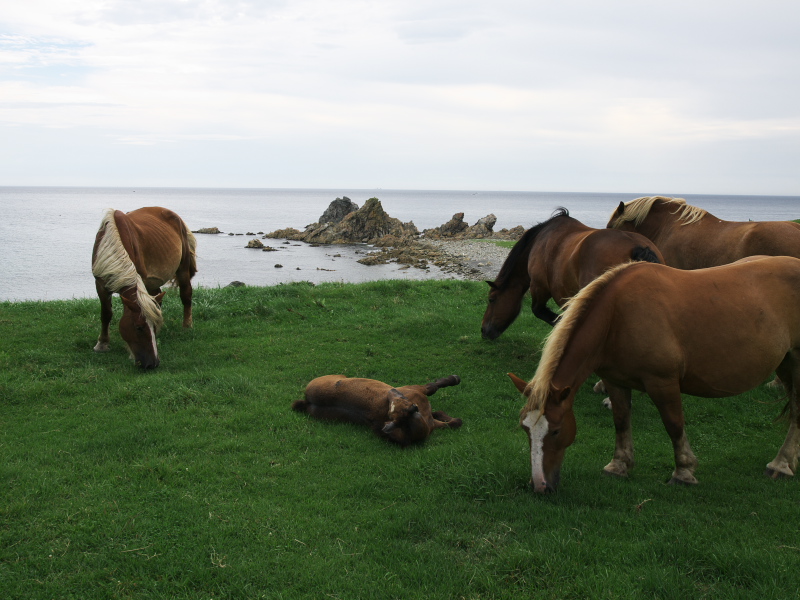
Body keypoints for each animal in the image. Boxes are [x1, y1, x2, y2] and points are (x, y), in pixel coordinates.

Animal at [90, 207, 196, 370]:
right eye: (138, 328)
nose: (153, 363)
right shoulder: (101, 285)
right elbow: (106, 314)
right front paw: (102, 344)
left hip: (182, 268)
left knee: (186, 295)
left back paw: (187, 325)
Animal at [294, 372, 462, 448]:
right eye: (394, 403)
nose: (393, 391)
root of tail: (307, 401)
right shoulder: (417, 390)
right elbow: (433, 387)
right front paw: (453, 379)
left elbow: (455, 422)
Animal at [510, 255, 800, 494]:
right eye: (526, 429)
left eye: (556, 431)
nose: (540, 486)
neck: (618, 316)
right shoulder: (615, 381)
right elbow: (621, 420)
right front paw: (619, 465)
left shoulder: (662, 382)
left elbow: (674, 424)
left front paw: (683, 472)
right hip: (785, 364)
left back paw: (780, 464)